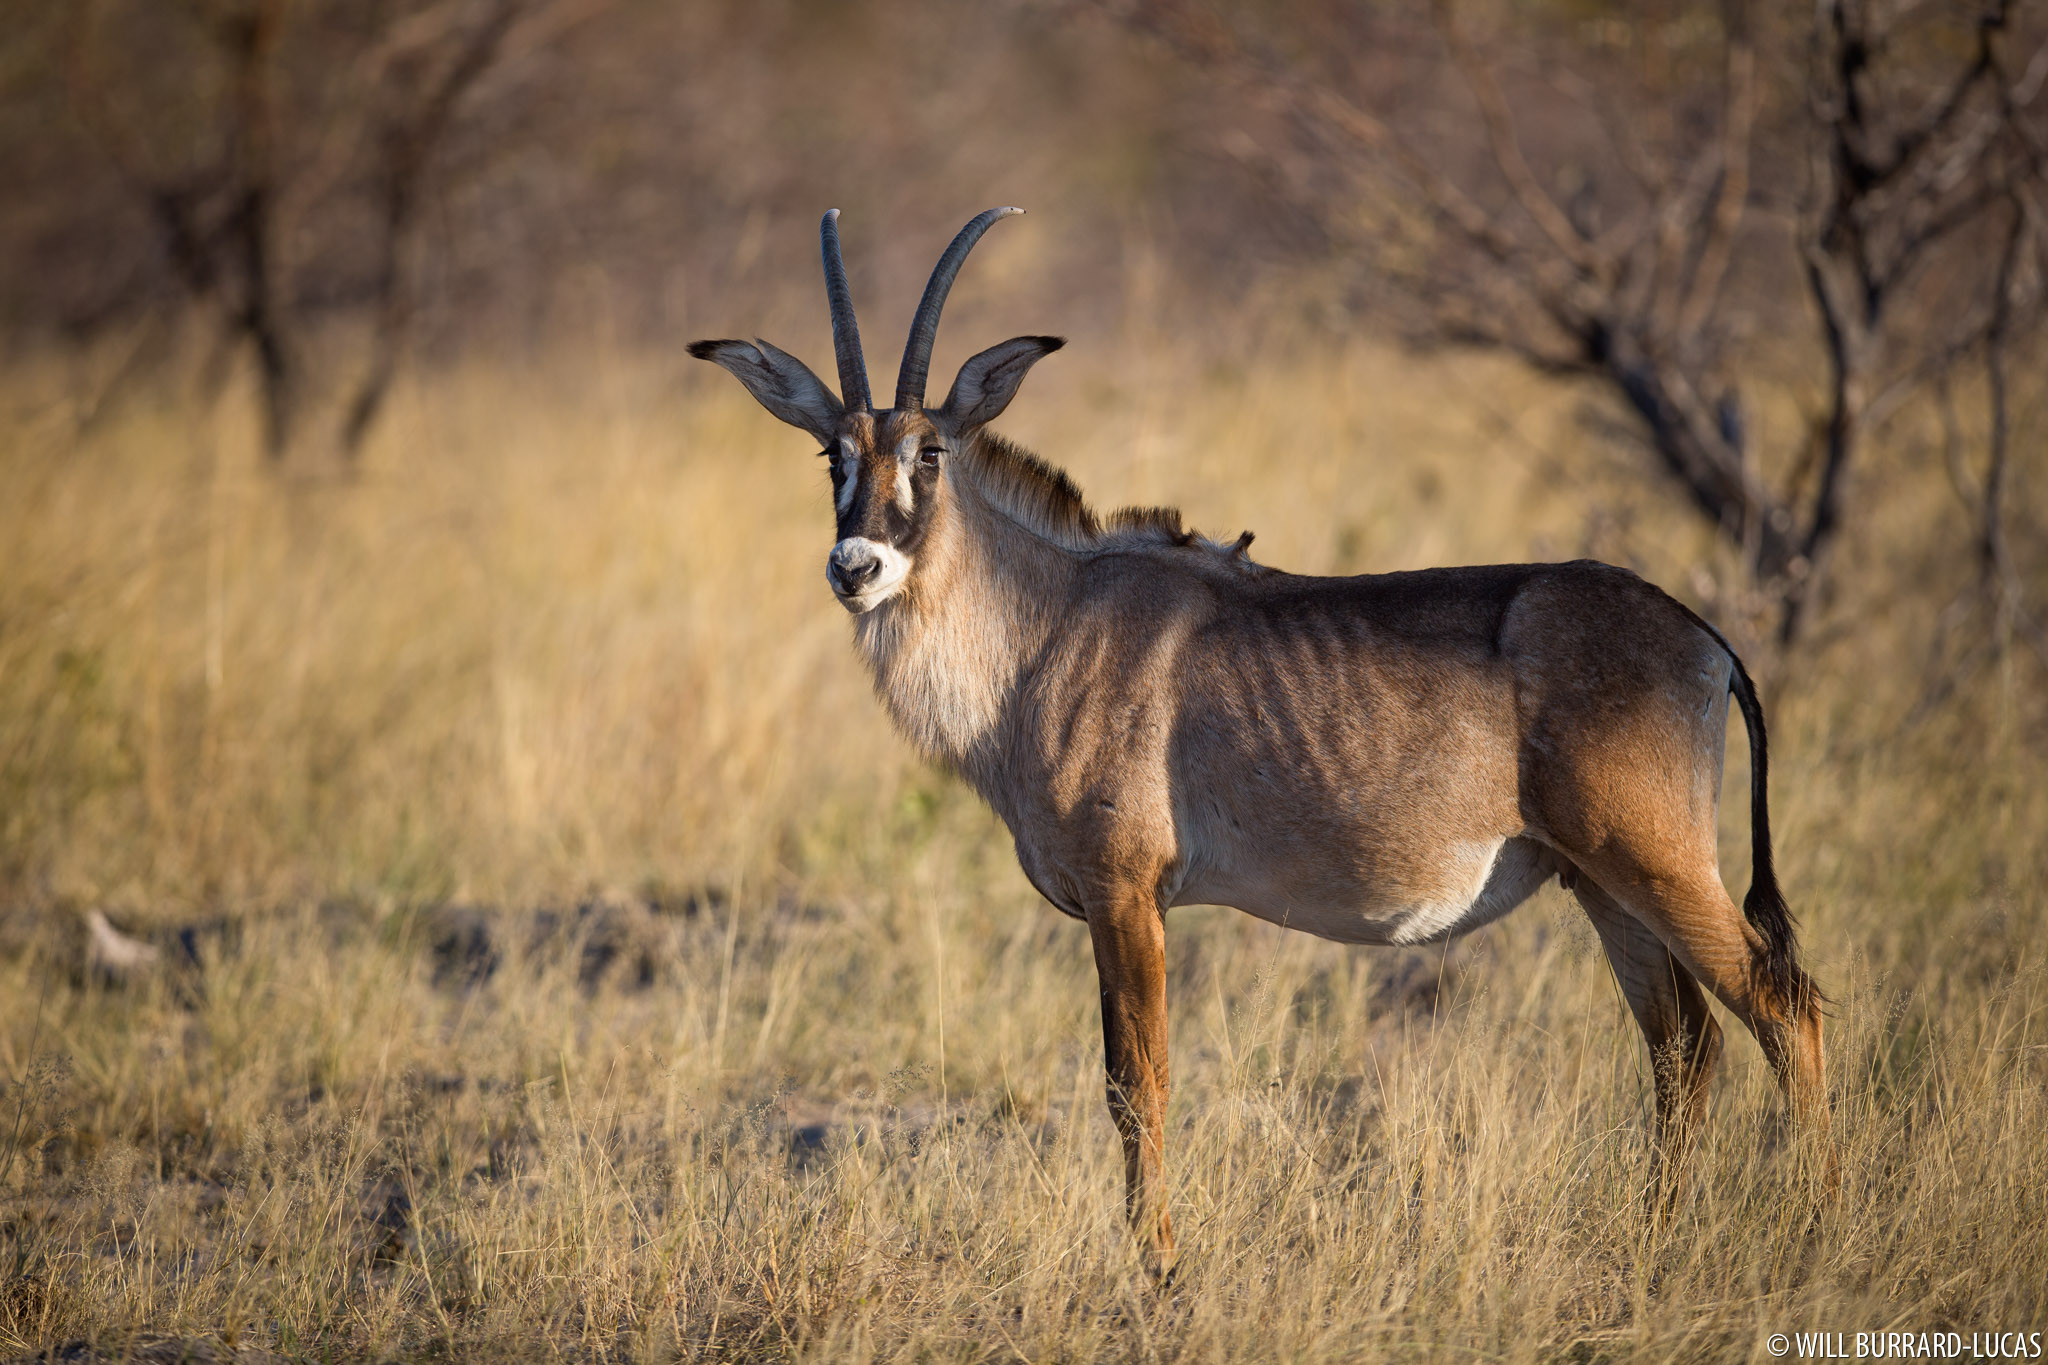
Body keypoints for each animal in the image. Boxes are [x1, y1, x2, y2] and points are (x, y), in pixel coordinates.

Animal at [689, 208, 1831, 1266]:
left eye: (929, 450)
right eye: (830, 453)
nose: (856, 566)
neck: (1045, 624)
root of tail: (1700, 636)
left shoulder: (1127, 894)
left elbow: (1136, 1083)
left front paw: (1156, 1264)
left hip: (1653, 863)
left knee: (1782, 1008)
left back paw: (1803, 1226)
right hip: (1600, 884)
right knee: (1684, 1047)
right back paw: (1653, 1237)